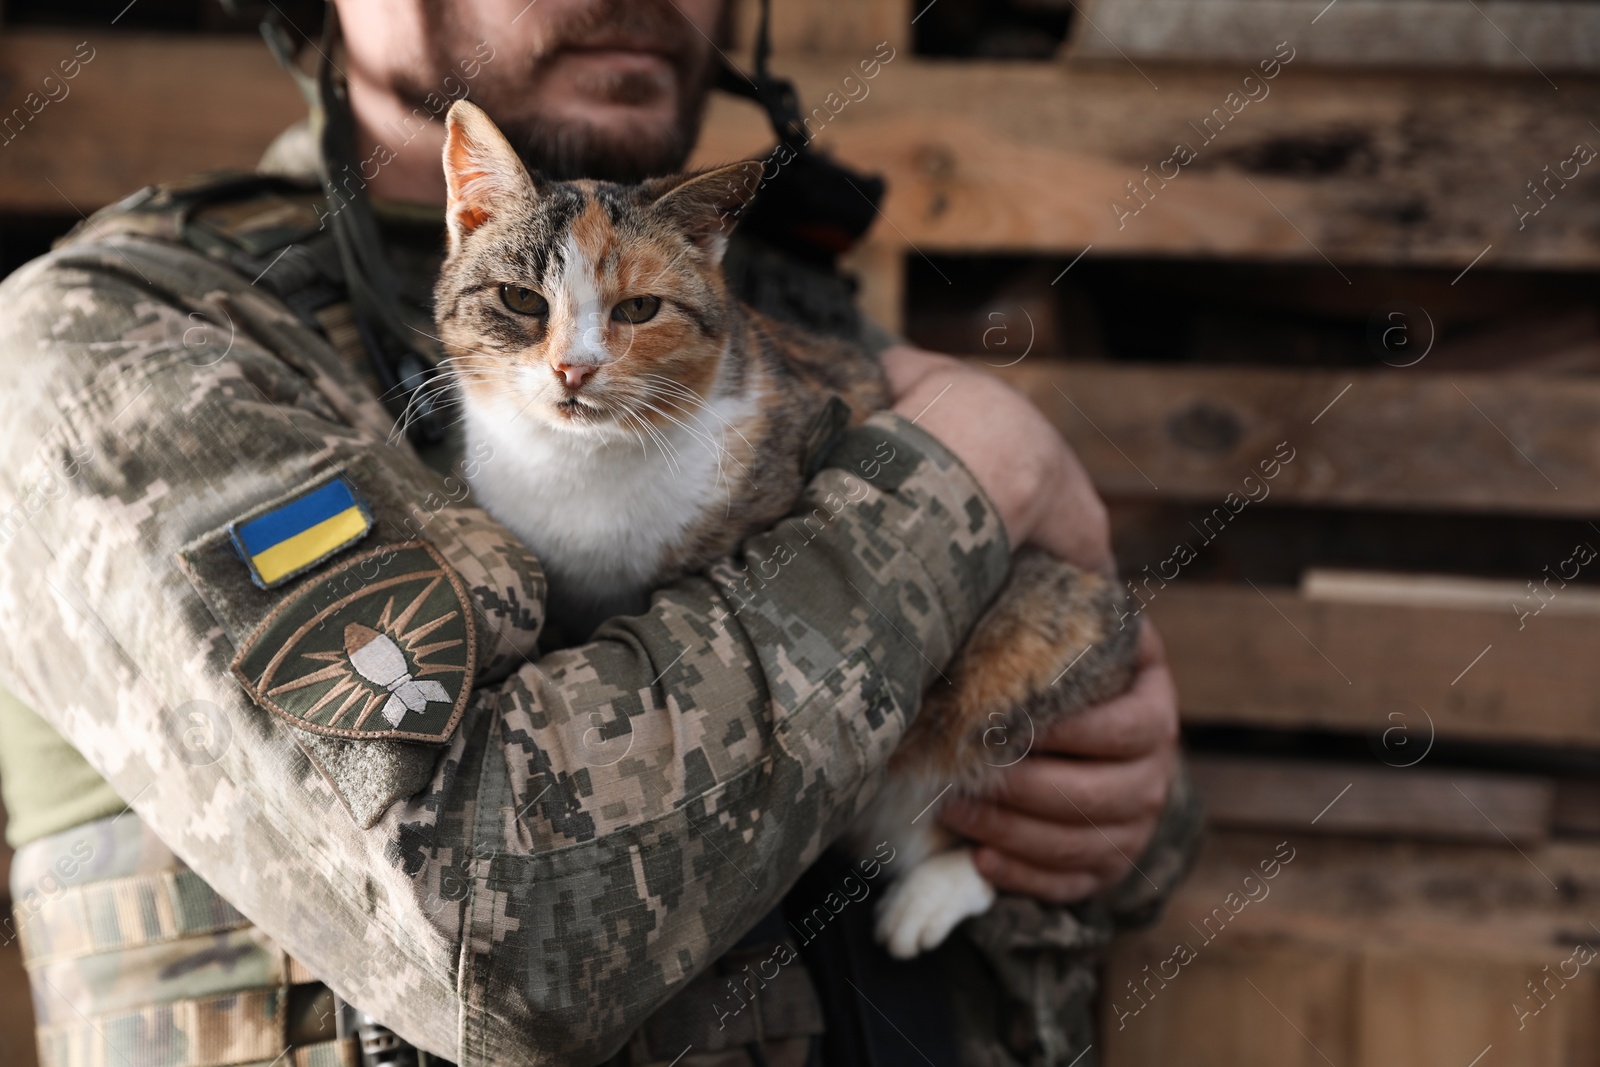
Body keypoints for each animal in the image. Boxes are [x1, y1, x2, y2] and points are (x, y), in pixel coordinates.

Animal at [438, 102, 1139, 959]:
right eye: (520, 299)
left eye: (638, 309)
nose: (574, 369)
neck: (582, 464)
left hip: (1030, 643)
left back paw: (933, 893)